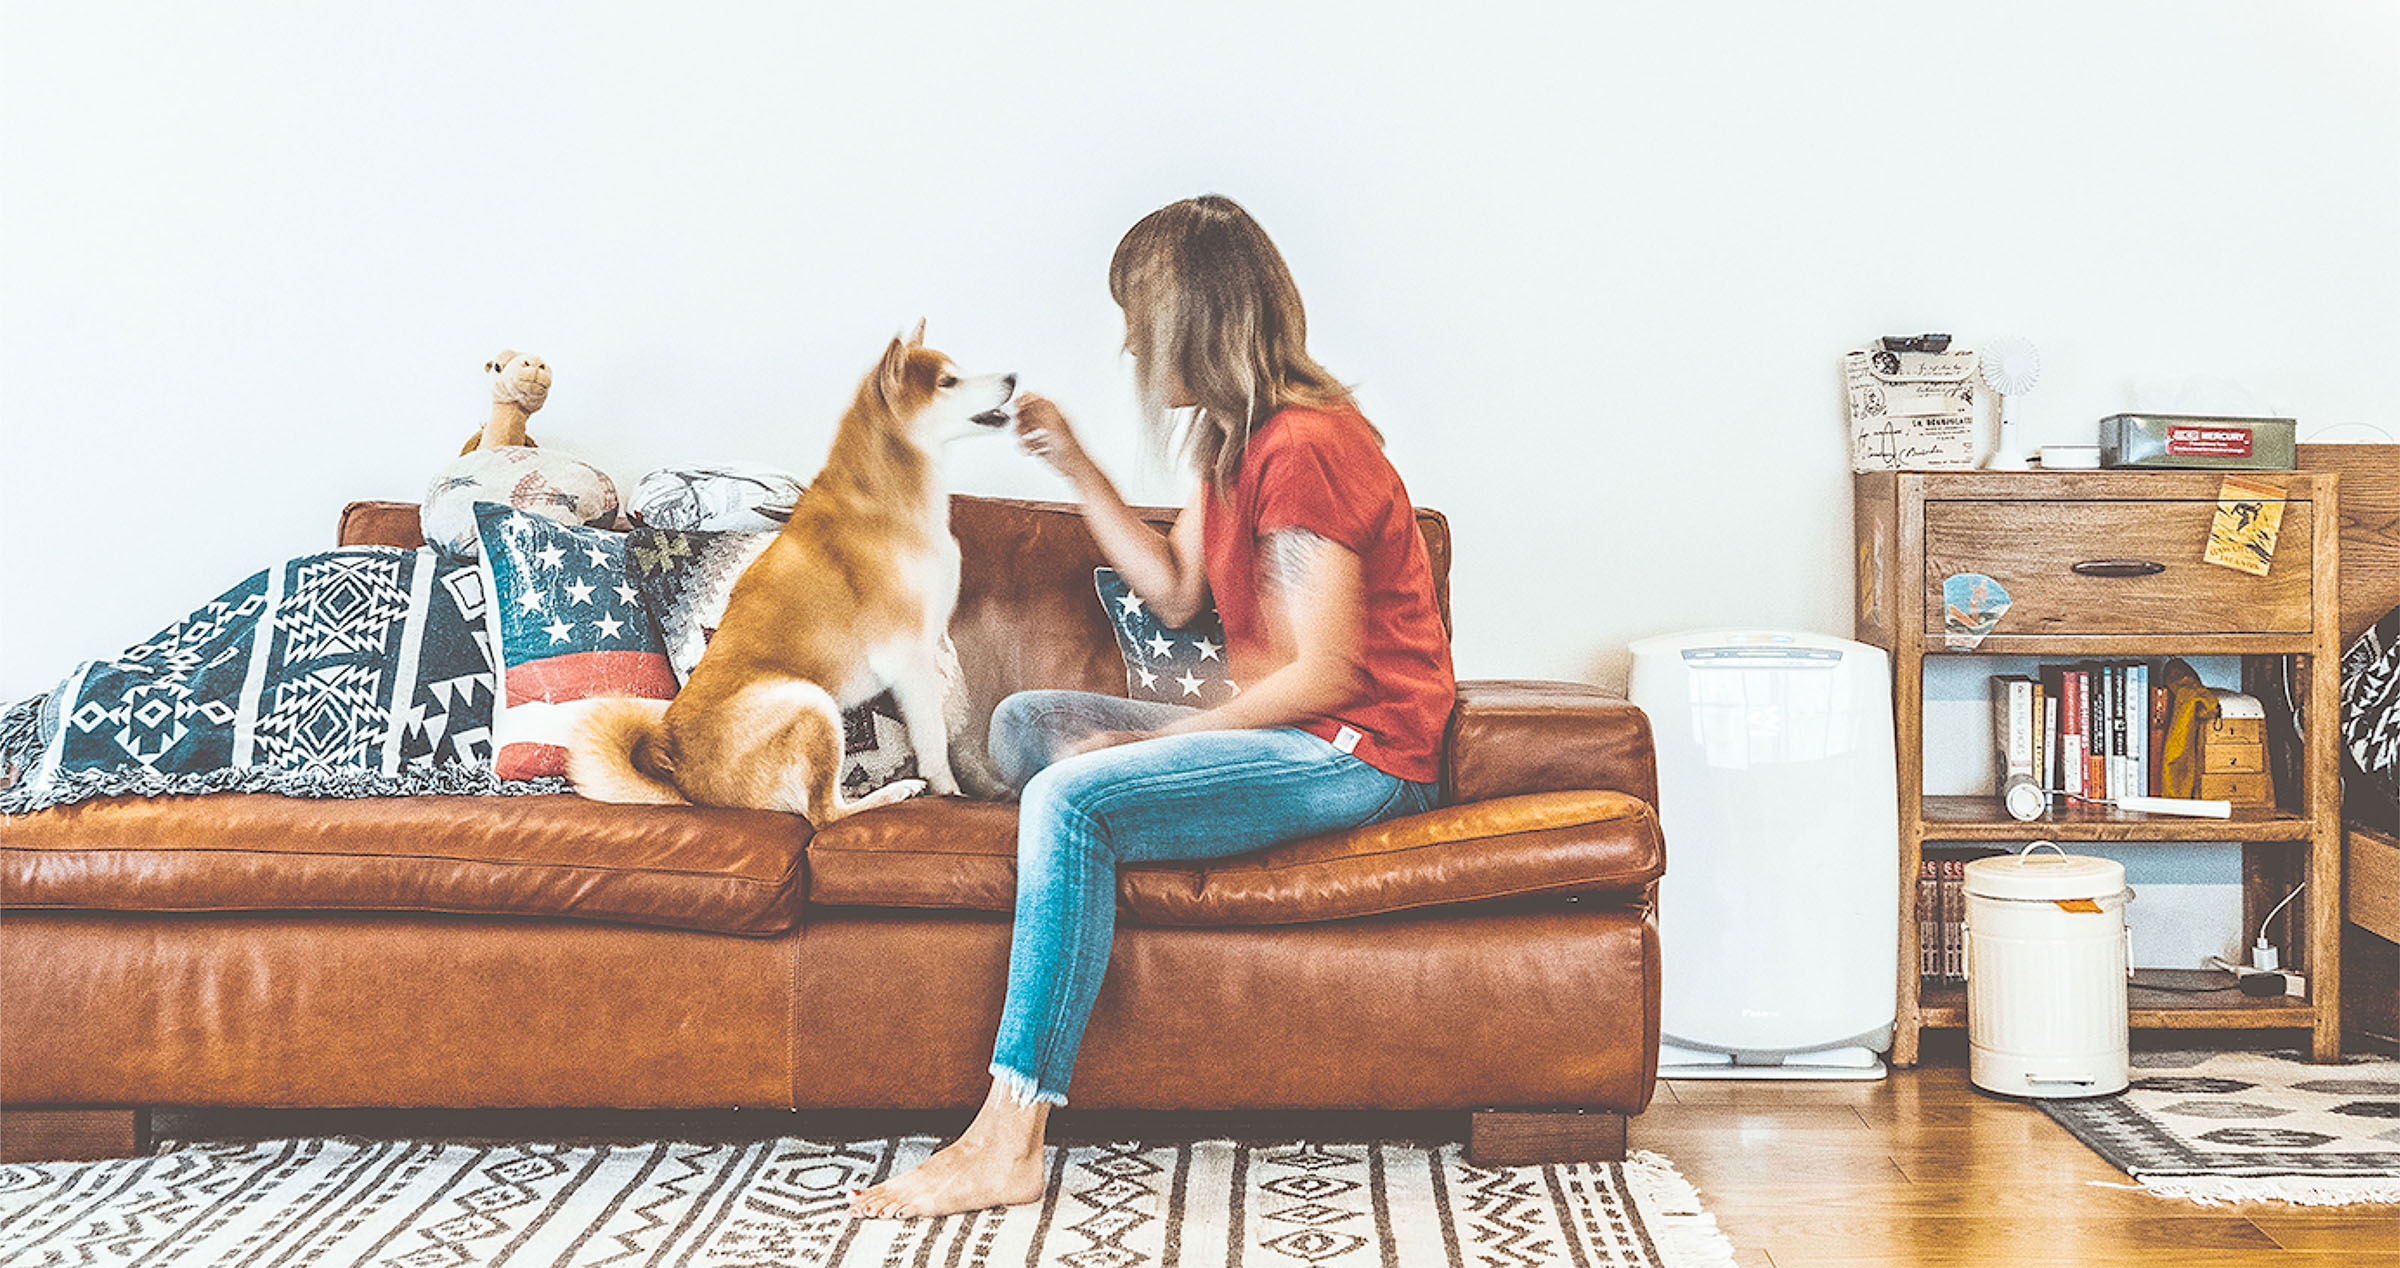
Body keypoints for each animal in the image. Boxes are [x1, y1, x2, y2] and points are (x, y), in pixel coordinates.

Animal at [576, 324, 1017, 821]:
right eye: (948, 382)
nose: (1013, 378)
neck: (889, 500)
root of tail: (684, 780)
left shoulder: (929, 644)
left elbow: (949, 729)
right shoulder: (906, 652)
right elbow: (934, 737)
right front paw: (949, 789)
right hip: (810, 702)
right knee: (824, 812)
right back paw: (894, 792)